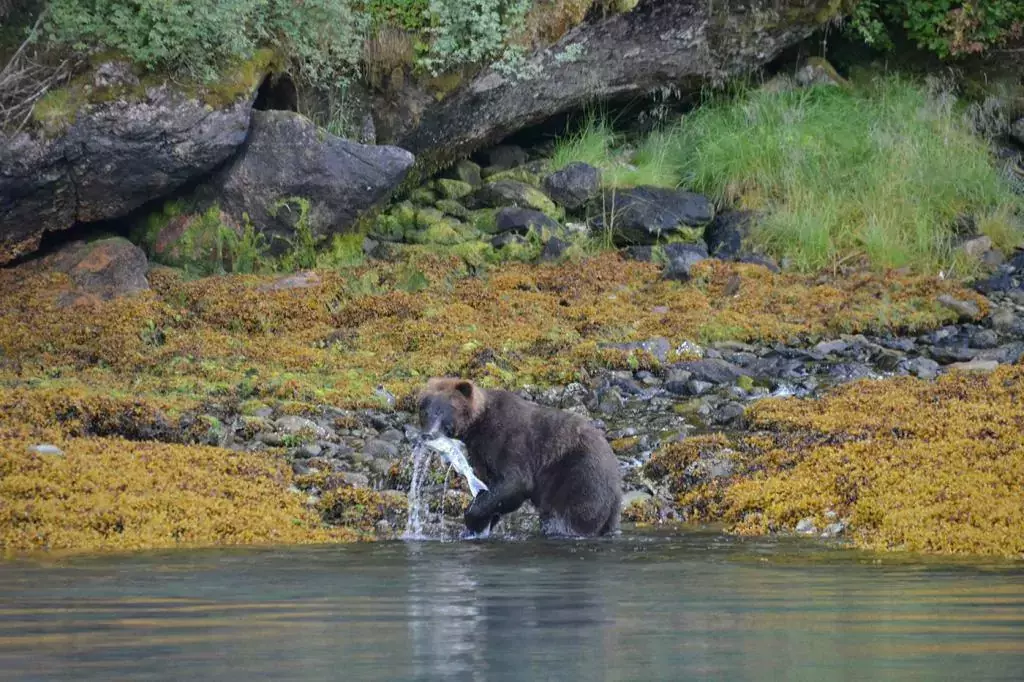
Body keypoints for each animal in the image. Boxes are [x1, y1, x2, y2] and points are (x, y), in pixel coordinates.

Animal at [415, 374, 622, 532]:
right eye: (425, 411)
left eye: (444, 411)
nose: (429, 434)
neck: (478, 427)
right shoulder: (480, 454)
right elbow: (491, 488)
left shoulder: (509, 441)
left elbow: (515, 483)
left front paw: (472, 518)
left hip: (579, 477)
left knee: (565, 517)